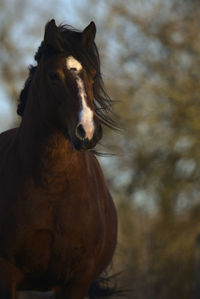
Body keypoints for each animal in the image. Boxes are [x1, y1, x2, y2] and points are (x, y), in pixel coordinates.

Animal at [0, 19, 117, 298]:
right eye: (54, 75)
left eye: (93, 75)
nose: (87, 131)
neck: (51, 186)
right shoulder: (7, 274)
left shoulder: (77, 280)